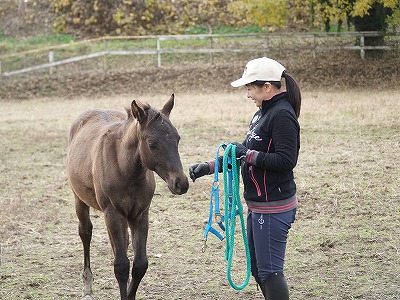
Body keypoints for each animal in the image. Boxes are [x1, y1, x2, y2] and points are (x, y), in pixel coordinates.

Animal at [67, 94, 189, 300]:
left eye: (178, 138)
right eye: (152, 144)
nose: (181, 183)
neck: (125, 168)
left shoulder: (140, 214)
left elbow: (139, 264)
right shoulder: (112, 213)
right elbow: (121, 266)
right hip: (80, 199)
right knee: (85, 232)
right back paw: (87, 286)